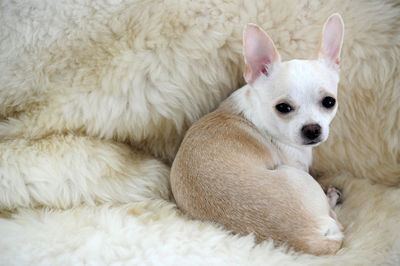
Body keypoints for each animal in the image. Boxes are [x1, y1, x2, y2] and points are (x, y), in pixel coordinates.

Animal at [170, 14, 346, 256]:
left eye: (329, 102)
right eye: (283, 108)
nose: (312, 129)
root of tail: (304, 238)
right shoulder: (298, 165)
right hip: (294, 176)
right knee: (334, 218)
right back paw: (331, 197)